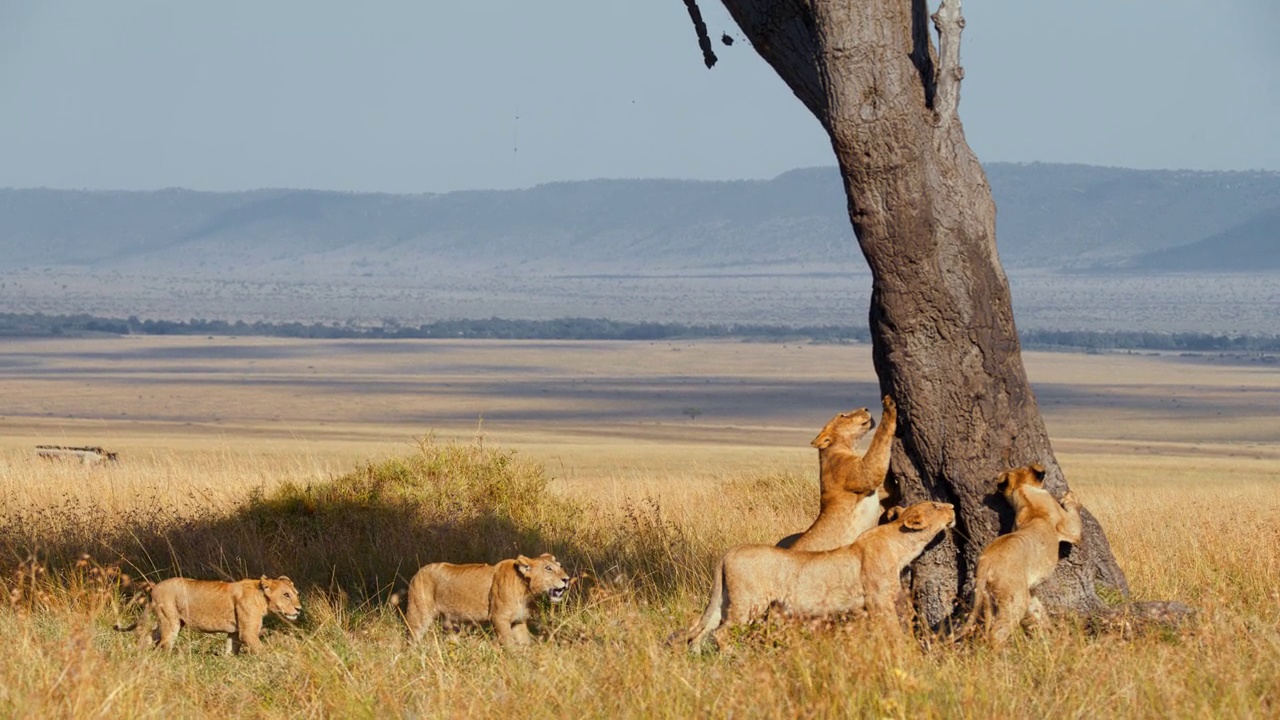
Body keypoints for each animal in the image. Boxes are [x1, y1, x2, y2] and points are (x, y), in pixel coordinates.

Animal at [114, 573, 302, 653]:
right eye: (286, 595)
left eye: (296, 594)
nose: (299, 609)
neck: (263, 598)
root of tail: (154, 589)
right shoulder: (247, 633)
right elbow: (262, 650)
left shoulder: (234, 633)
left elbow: (230, 651)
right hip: (170, 621)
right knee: (164, 643)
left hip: (170, 621)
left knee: (149, 637)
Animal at [404, 550, 570, 648]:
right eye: (548, 568)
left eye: (560, 566)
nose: (567, 579)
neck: (526, 592)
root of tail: (418, 572)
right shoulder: (499, 618)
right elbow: (509, 644)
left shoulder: (519, 621)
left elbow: (524, 643)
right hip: (418, 615)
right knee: (412, 637)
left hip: (451, 622)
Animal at [686, 499, 957, 650]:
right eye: (935, 505)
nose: (953, 506)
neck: (900, 543)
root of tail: (729, 552)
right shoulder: (879, 601)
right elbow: (892, 629)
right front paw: (904, 650)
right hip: (749, 602)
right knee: (720, 633)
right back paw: (731, 656)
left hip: (725, 601)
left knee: (700, 631)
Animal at [773, 392, 896, 548]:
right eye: (843, 416)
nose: (866, 408)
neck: (849, 446)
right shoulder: (865, 472)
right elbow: (879, 440)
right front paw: (889, 407)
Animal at [957, 461, 1085, 640]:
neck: (1022, 490)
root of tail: (985, 563)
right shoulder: (1071, 530)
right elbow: (1074, 514)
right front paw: (1070, 497)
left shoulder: (1030, 590)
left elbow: (1039, 612)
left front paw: (1049, 634)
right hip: (1015, 600)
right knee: (996, 634)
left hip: (989, 599)